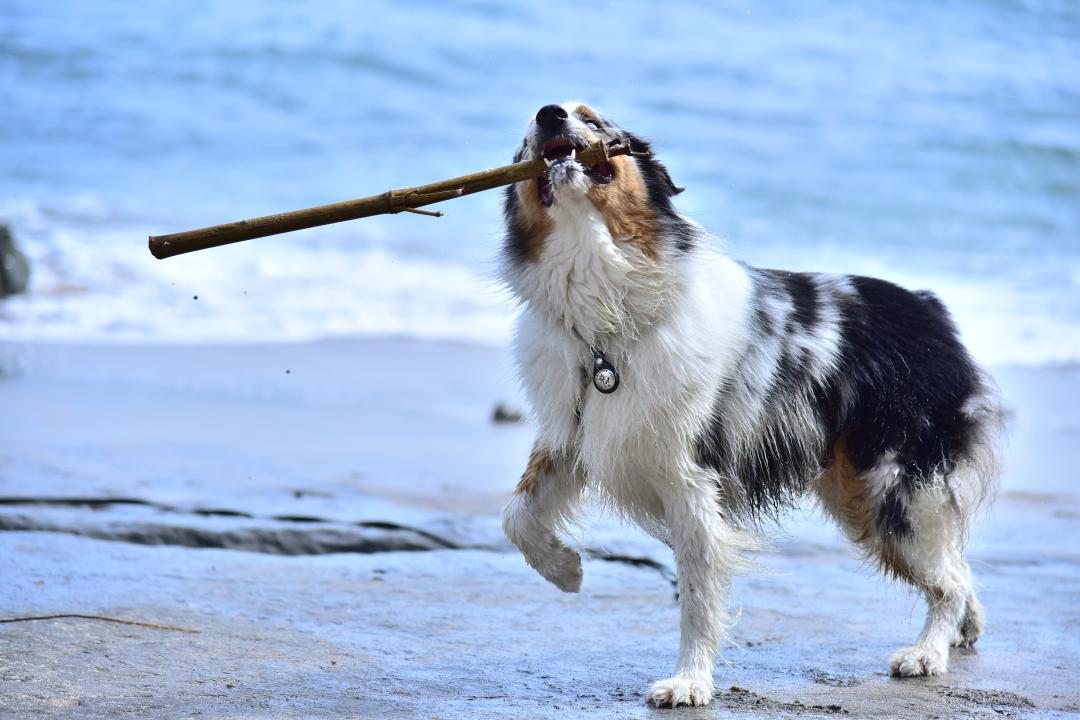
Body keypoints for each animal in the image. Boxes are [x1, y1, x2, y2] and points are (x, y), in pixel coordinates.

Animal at [496, 102, 1002, 708]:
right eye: (524, 142)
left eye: (593, 120)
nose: (549, 114)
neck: (608, 322)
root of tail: (932, 309)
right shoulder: (572, 435)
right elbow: (516, 516)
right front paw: (567, 571)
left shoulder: (693, 477)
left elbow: (697, 595)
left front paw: (689, 682)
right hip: (854, 488)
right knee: (955, 565)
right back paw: (964, 630)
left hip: (893, 488)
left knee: (944, 578)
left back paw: (927, 653)